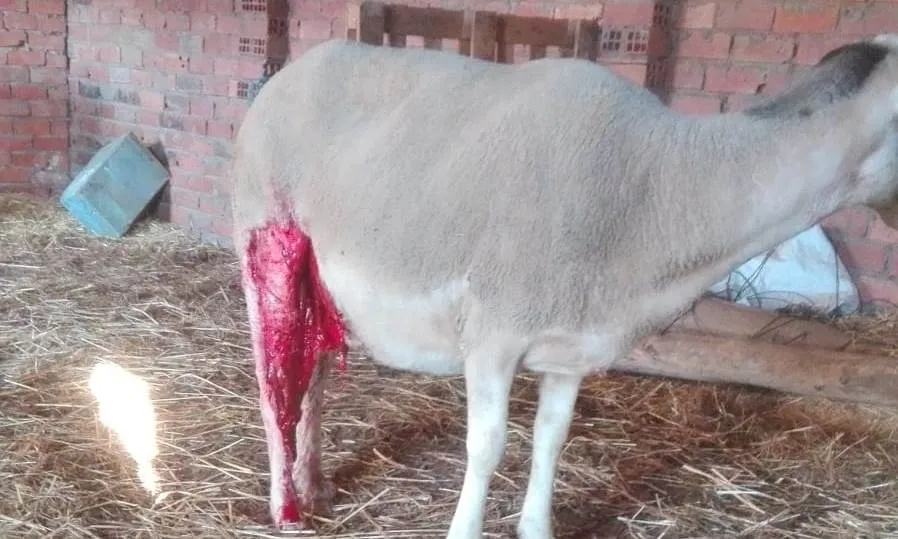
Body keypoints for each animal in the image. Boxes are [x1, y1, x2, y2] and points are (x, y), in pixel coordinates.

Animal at [229, 34, 898, 539]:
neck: (661, 188)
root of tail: (289, 73)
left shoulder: (571, 346)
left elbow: (551, 441)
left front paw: (536, 527)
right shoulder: (493, 332)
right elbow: (487, 447)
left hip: (318, 276)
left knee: (313, 374)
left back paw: (314, 483)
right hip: (265, 239)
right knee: (271, 379)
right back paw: (284, 503)